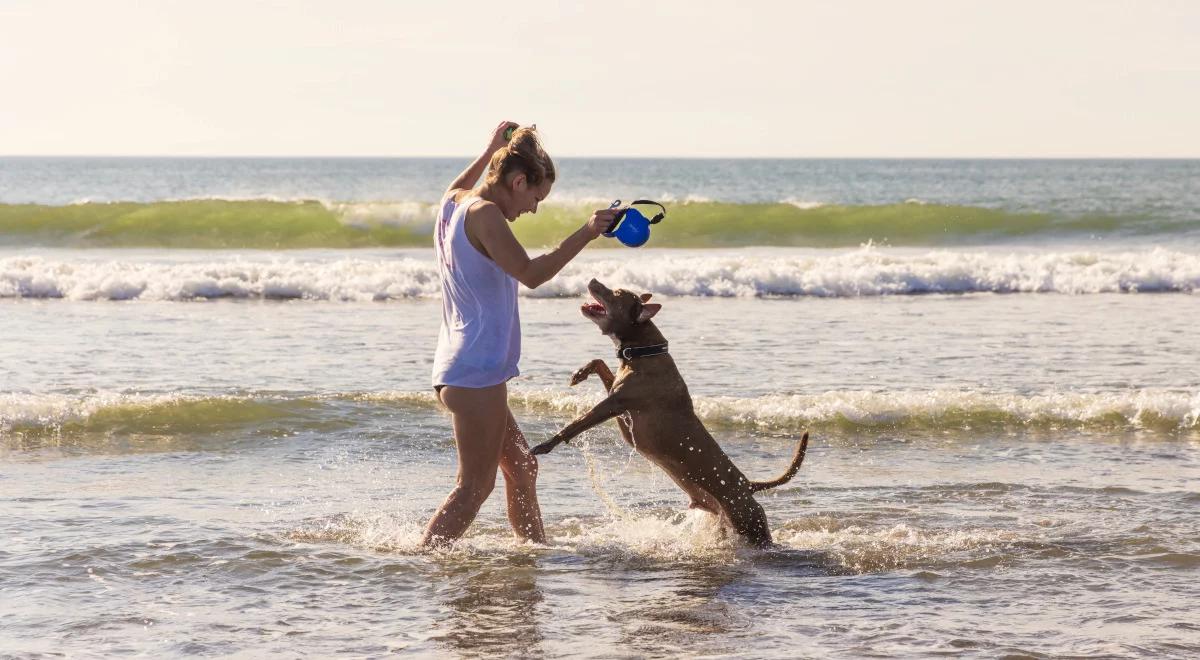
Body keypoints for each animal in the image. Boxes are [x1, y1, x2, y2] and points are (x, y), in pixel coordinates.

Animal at [532, 279, 806, 549]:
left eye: (616, 293)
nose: (593, 280)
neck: (643, 350)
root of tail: (748, 485)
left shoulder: (614, 404)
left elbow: (576, 423)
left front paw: (546, 444)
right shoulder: (618, 401)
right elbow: (599, 363)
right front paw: (580, 373)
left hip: (748, 521)